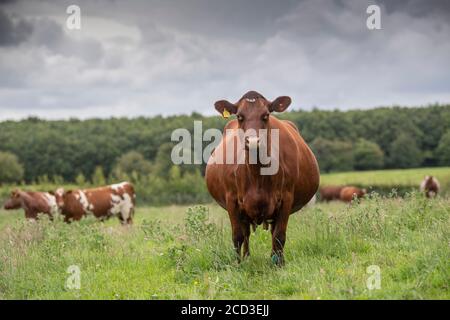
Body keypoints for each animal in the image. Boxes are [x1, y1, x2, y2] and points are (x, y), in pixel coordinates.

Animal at [205, 90, 320, 264]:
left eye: (265, 115)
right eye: (240, 116)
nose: (253, 141)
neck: (256, 175)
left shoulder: (286, 198)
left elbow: (279, 236)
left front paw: (278, 265)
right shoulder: (231, 200)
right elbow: (237, 236)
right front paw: (237, 264)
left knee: (273, 233)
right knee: (245, 233)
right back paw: (246, 258)